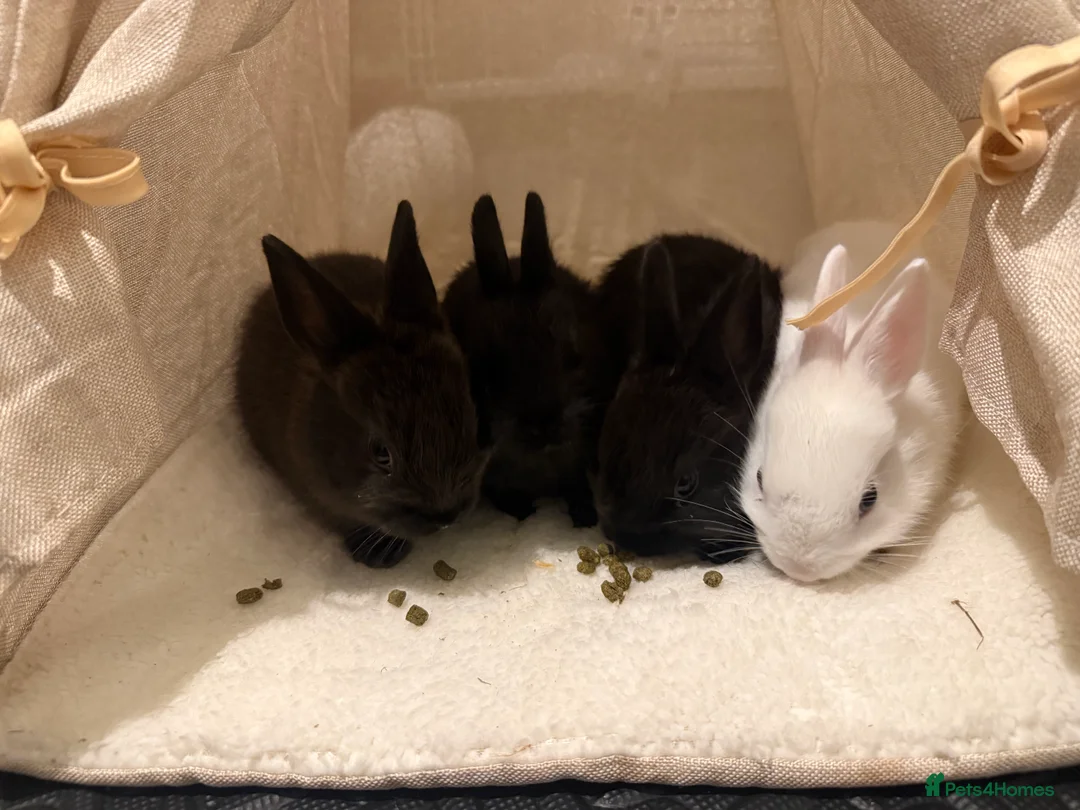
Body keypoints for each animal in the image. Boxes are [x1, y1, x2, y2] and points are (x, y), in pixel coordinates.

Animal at [441, 191, 600, 527]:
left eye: (573, 357)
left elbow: (577, 486)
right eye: (487, 371)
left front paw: (586, 517)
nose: (544, 426)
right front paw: (522, 511)